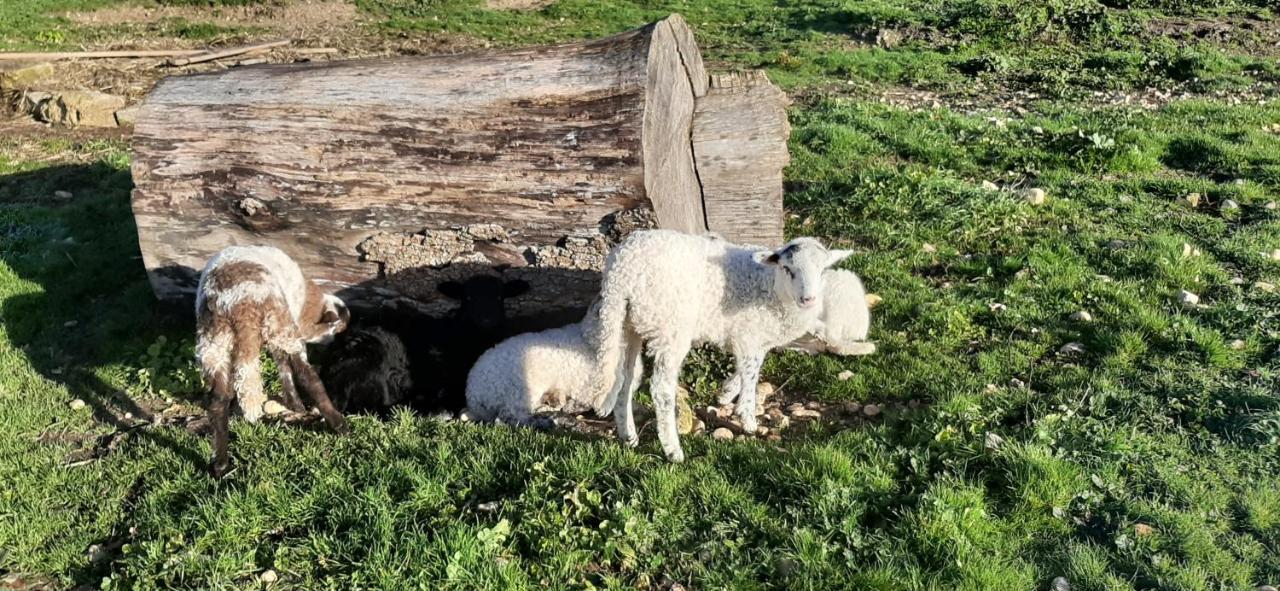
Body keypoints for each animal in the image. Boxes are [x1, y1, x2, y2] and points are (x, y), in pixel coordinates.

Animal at [192, 241, 350, 478]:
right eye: (336, 331)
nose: (331, 343)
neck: (304, 301)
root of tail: (234, 303)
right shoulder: (288, 329)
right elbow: (290, 367)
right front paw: (298, 405)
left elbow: (282, 365)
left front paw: (293, 403)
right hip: (277, 323)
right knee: (308, 376)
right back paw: (339, 423)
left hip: (213, 344)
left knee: (218, 401)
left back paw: (220, 464)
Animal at [586, 228, 849, 463]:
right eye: (787, 268)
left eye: (823, 271)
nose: (808, 299)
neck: (772, 287)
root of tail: (621, 273)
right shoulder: (749, 333)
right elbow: (751, 373)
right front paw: (747, 419)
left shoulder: (752, 336)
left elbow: (749, 367)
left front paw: (726, 393)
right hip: (669, 327)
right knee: (661, 389)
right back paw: (673, 451)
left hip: (627, 324)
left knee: (625, 379)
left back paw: (628, 436)